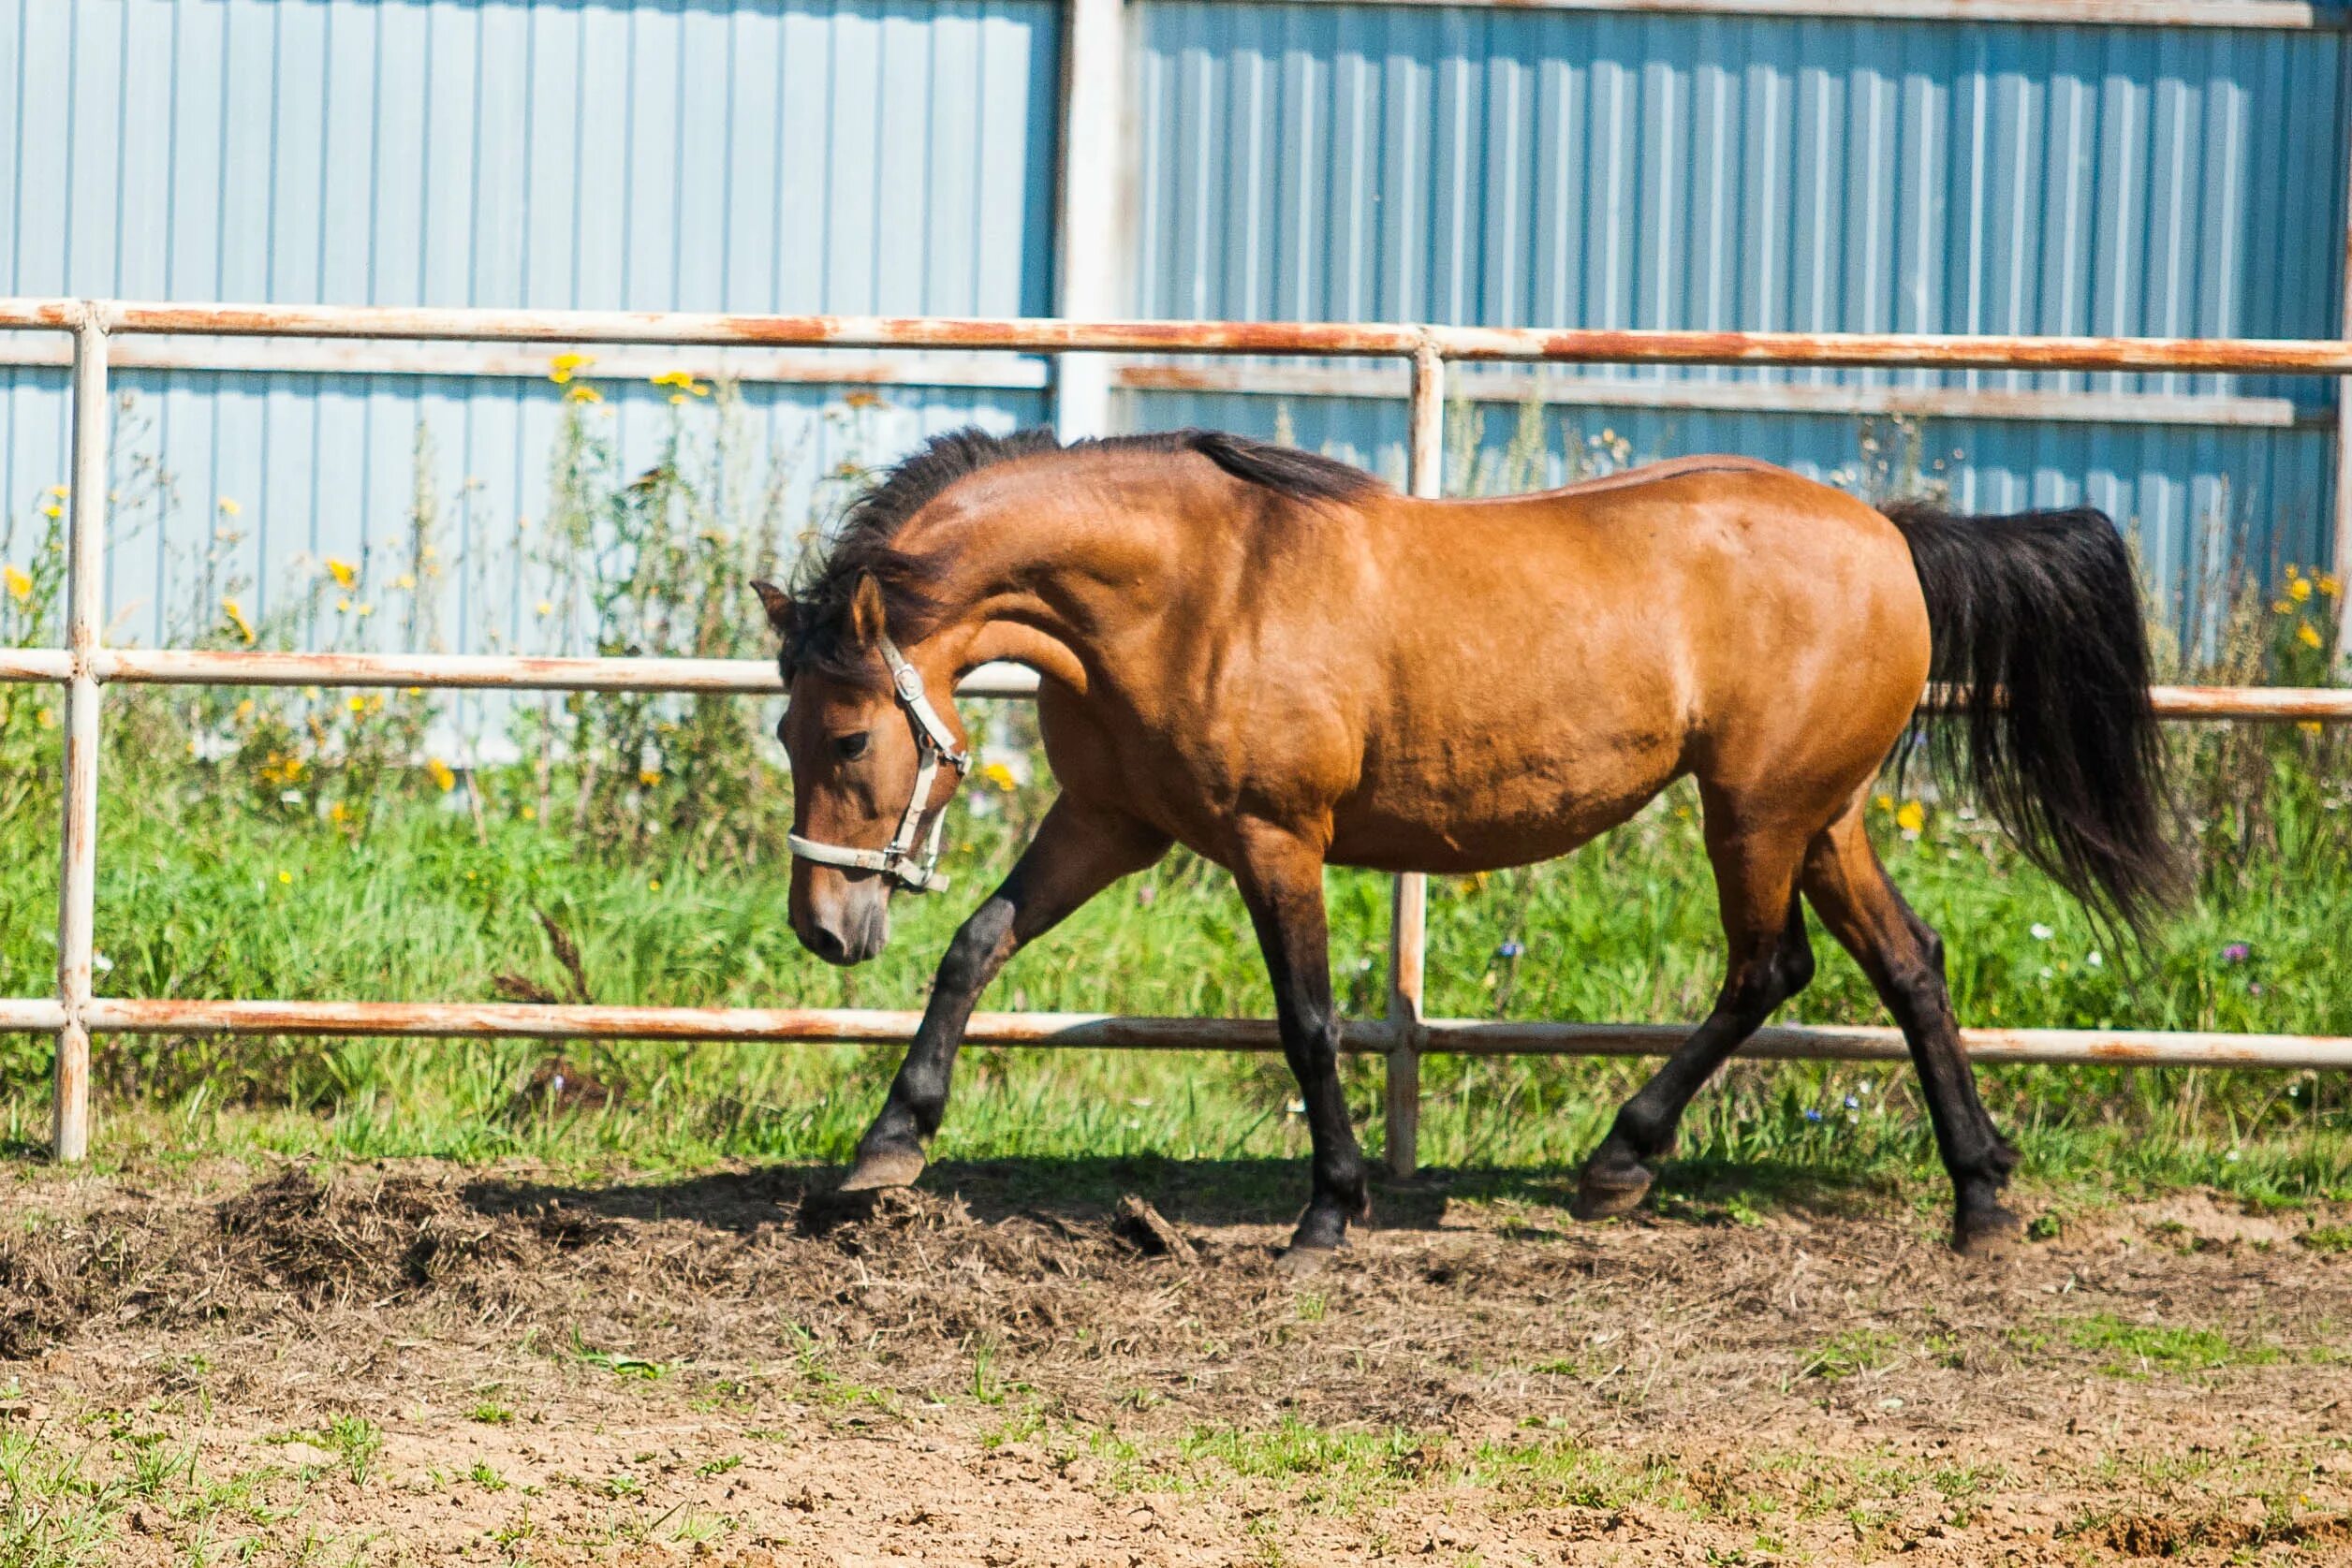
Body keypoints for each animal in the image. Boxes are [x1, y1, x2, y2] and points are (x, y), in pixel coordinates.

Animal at [752, 425, 2164, 1260]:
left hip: (1756, 811)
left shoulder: (1276, 837)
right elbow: (977, 945)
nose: (821, 927)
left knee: (1772, 967)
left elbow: (1308, 1019)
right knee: (1909, 962)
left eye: (847, 739)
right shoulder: (1114, 821)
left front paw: (1329, 1210)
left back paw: (1618, 1162)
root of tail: (1890, 533)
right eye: (781, 725)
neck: (1194, 592)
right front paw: (883, 1152)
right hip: (1823, 814)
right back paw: (1980, 1196)